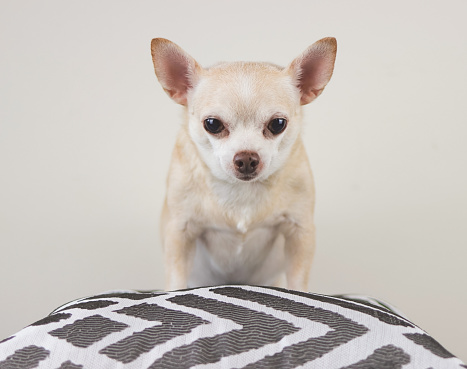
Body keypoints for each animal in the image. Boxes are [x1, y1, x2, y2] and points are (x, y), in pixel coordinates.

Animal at [152, 37, 338, 290]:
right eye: (212, 124)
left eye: (278, 124)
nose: (247, 159)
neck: (241, 191)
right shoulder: (179, 232)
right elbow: (176, 281)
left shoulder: (300, 231)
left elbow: (298, 282)